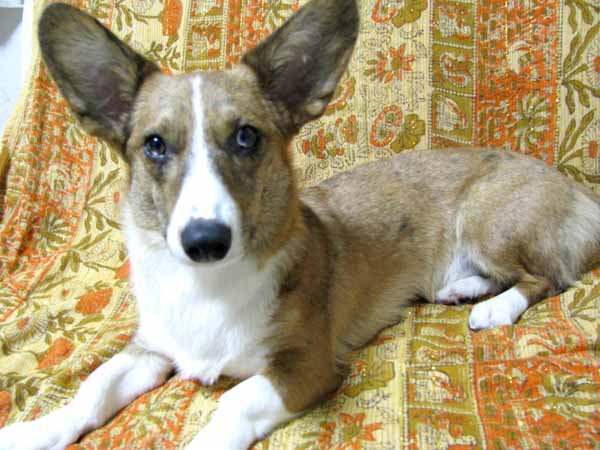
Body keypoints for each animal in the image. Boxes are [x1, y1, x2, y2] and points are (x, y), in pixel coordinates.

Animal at [1, 0, 600, 449]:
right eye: (154, 145)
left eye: (247, 136)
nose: (204, 241)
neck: (208, 288)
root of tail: (578, 191)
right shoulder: (148, 349)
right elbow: (92, 389)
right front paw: (35, 431)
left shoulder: (304, 367)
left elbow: (232, 404)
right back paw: (464, 288)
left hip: (485, 219)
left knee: (547, 276)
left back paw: (494, 308)